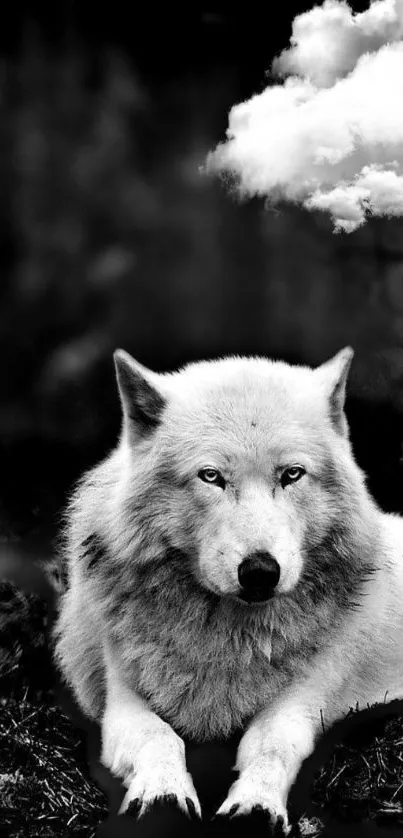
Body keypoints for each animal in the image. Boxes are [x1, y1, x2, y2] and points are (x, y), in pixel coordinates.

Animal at [52, 346, 403, 832]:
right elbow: (159, 736)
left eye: (292, 474)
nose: (260, 571)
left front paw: (255, 806)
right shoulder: (121, 702)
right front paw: (163, 796)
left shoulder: (302, 702)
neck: (226, 639)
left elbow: (271, 745)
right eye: (211, 476)